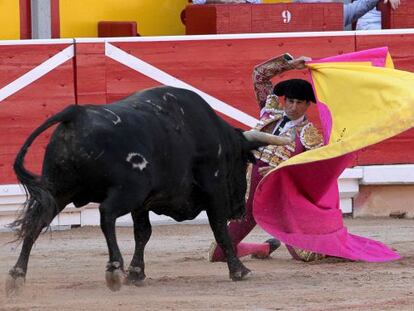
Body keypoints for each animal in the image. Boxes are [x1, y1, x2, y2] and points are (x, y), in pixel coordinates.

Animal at [6, 86, 292, 296]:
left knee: (36, 223)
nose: (240, 209)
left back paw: (17, 276)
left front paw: (136, 273)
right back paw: (114, 268)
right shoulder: (213, 192)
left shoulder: (142, 204)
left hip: (58, 190)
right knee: (106, 214)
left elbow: (143, 233)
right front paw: (240, 271)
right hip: (126, 190)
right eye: (244, 161)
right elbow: (220, 229)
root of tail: (75, 113)